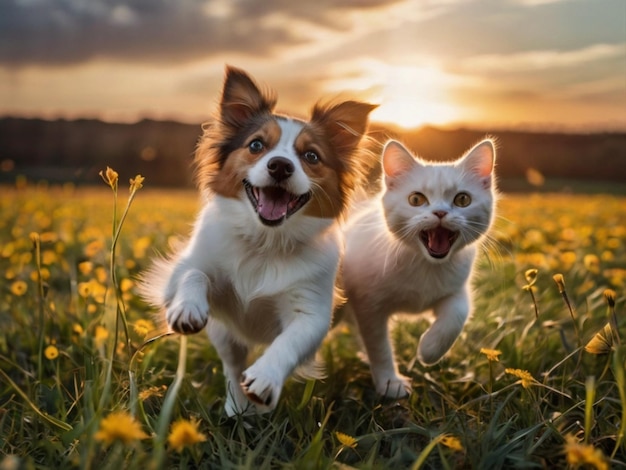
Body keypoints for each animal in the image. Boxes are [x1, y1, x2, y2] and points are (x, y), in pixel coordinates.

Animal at [140, 66, 376, 414]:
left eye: (311, 156)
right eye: (256, 146)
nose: (280, 165)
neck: (266, 241)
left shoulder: (312, 311)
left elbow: (289, 341)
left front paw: (266, 377)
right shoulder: (181, 275)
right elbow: (194, 274)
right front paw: (187, 309)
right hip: (225, 334)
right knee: (232, 364)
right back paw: (238, 409)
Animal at [338, 138, 494, 398]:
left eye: (462, 199)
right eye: (416, 199)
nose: (440, 212)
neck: (425, 265)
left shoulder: (456, 288)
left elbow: (458, 314)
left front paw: (429, 350)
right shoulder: (368, 304)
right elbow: (379, 345)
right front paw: (390, 383)